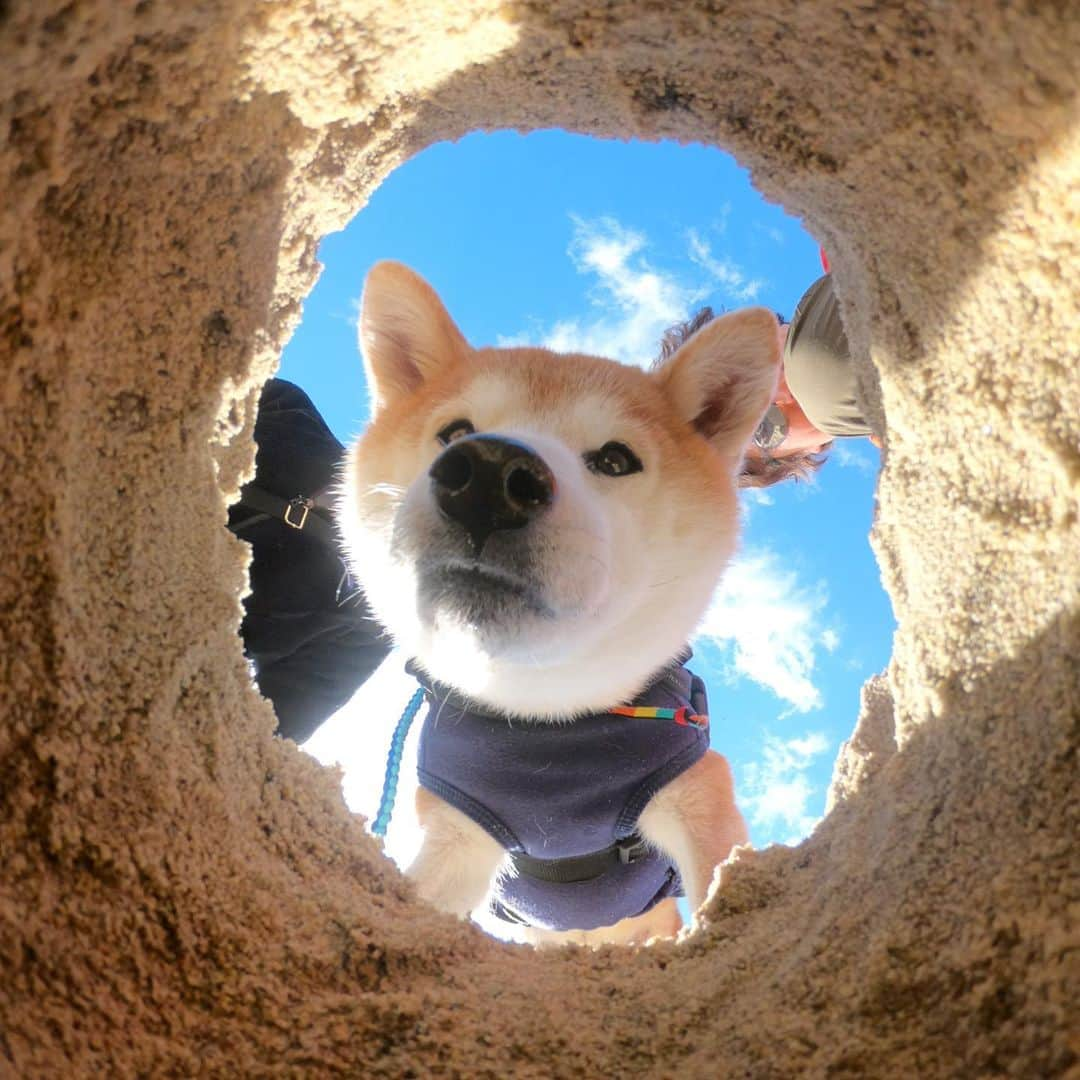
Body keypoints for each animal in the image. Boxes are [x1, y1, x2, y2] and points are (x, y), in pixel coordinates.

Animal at [336, 261, 777, 946]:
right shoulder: (457, 838)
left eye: (617, 459)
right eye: (455, 432)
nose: (489, 476)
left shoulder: (697, 791)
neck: (545, 732)